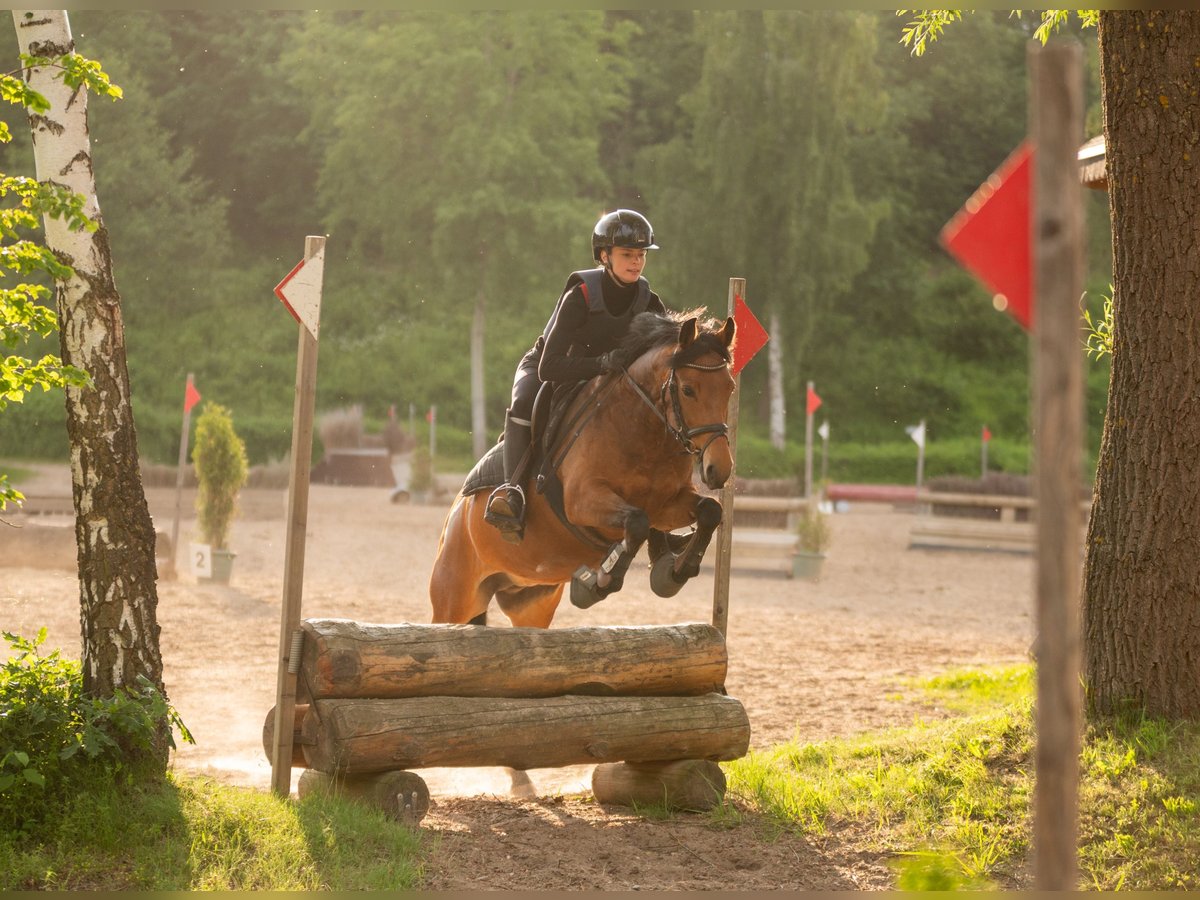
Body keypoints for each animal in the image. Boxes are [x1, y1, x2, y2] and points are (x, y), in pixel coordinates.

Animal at [427, 309, 734, 628]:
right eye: (688, 390)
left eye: (730, 388)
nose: (719, 468)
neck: (644, 434)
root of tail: (455, 514)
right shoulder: (581, 501)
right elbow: (637, 522)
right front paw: (597, 583)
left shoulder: (665, 506)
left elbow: (709, 511)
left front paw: (673, 572)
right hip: (454, 598)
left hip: (531, 602)